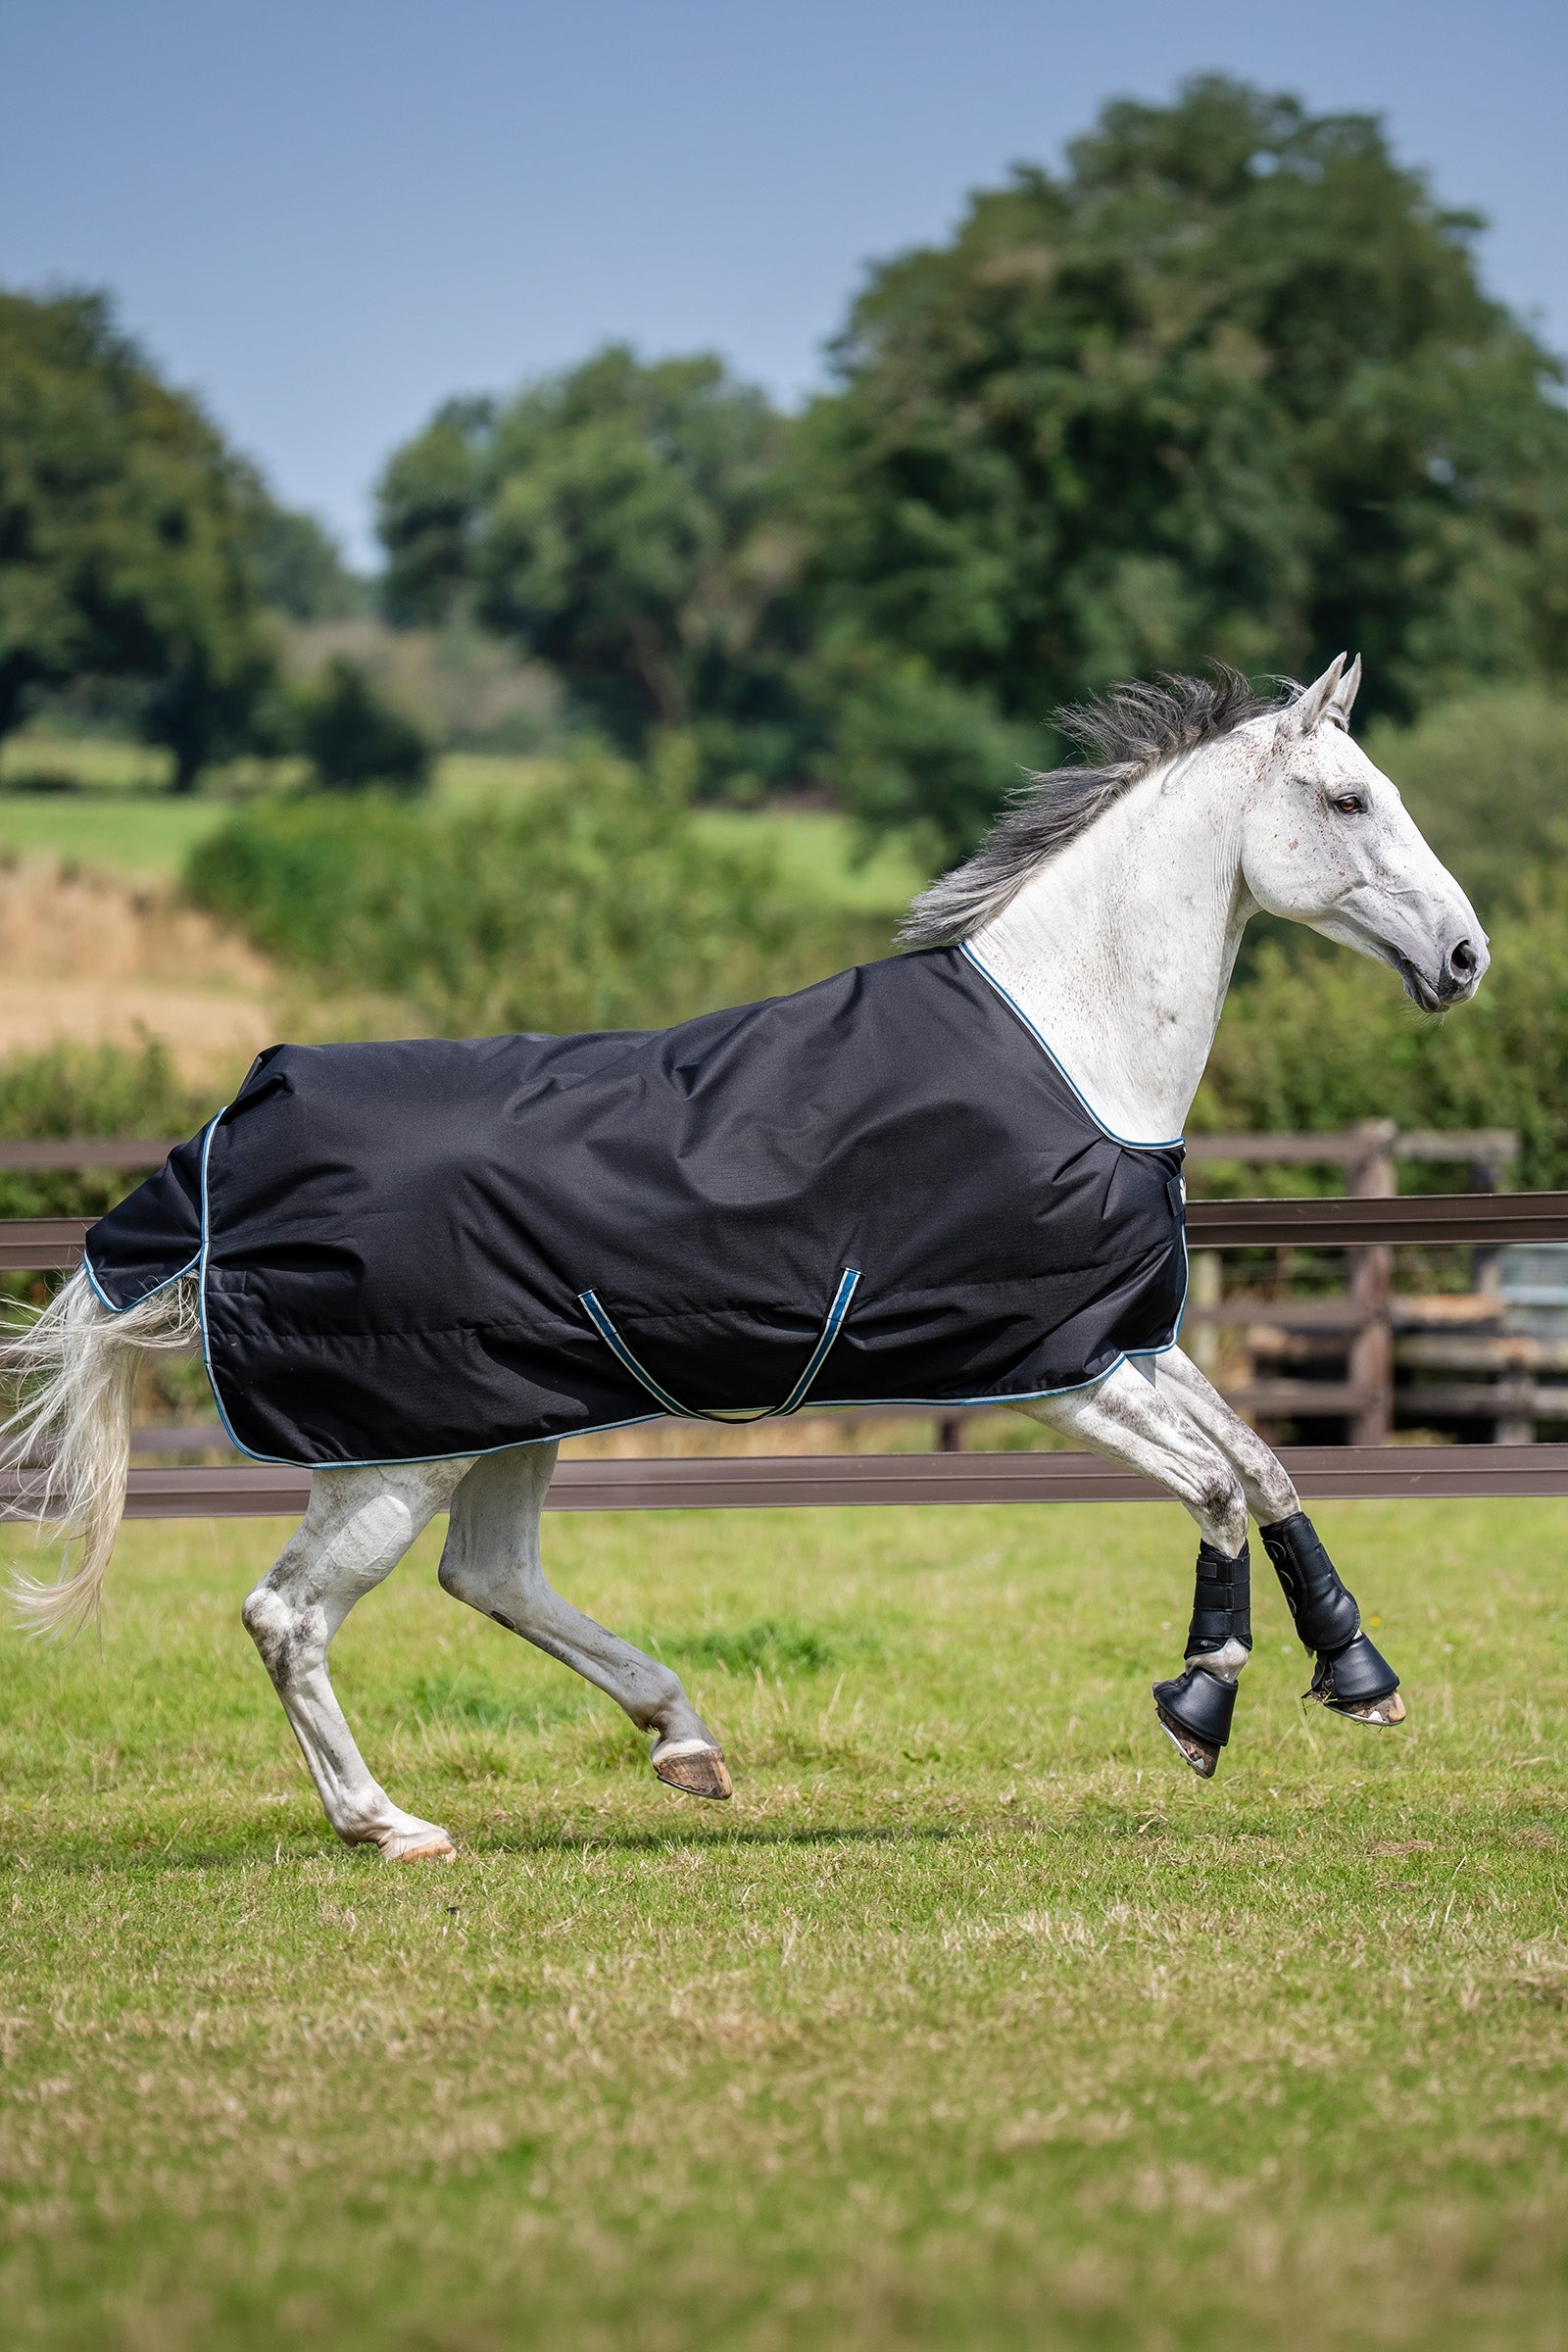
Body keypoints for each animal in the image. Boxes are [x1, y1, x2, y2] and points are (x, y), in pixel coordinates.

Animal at [1, 655, 1486, 1858]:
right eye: (1347, 801)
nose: (1466, 957)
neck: (1068, 1049)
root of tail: (231, 1131)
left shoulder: (1129, 1342)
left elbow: (1265, 1464)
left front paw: (1358, 1679)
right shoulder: (1056, 1367)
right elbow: (1216, 1486)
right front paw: (1198, 1708)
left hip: (510, 1414)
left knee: (488, 1578)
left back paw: (684, 1742)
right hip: (399, 1448)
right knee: (291, 1616)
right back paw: (391, 1825)